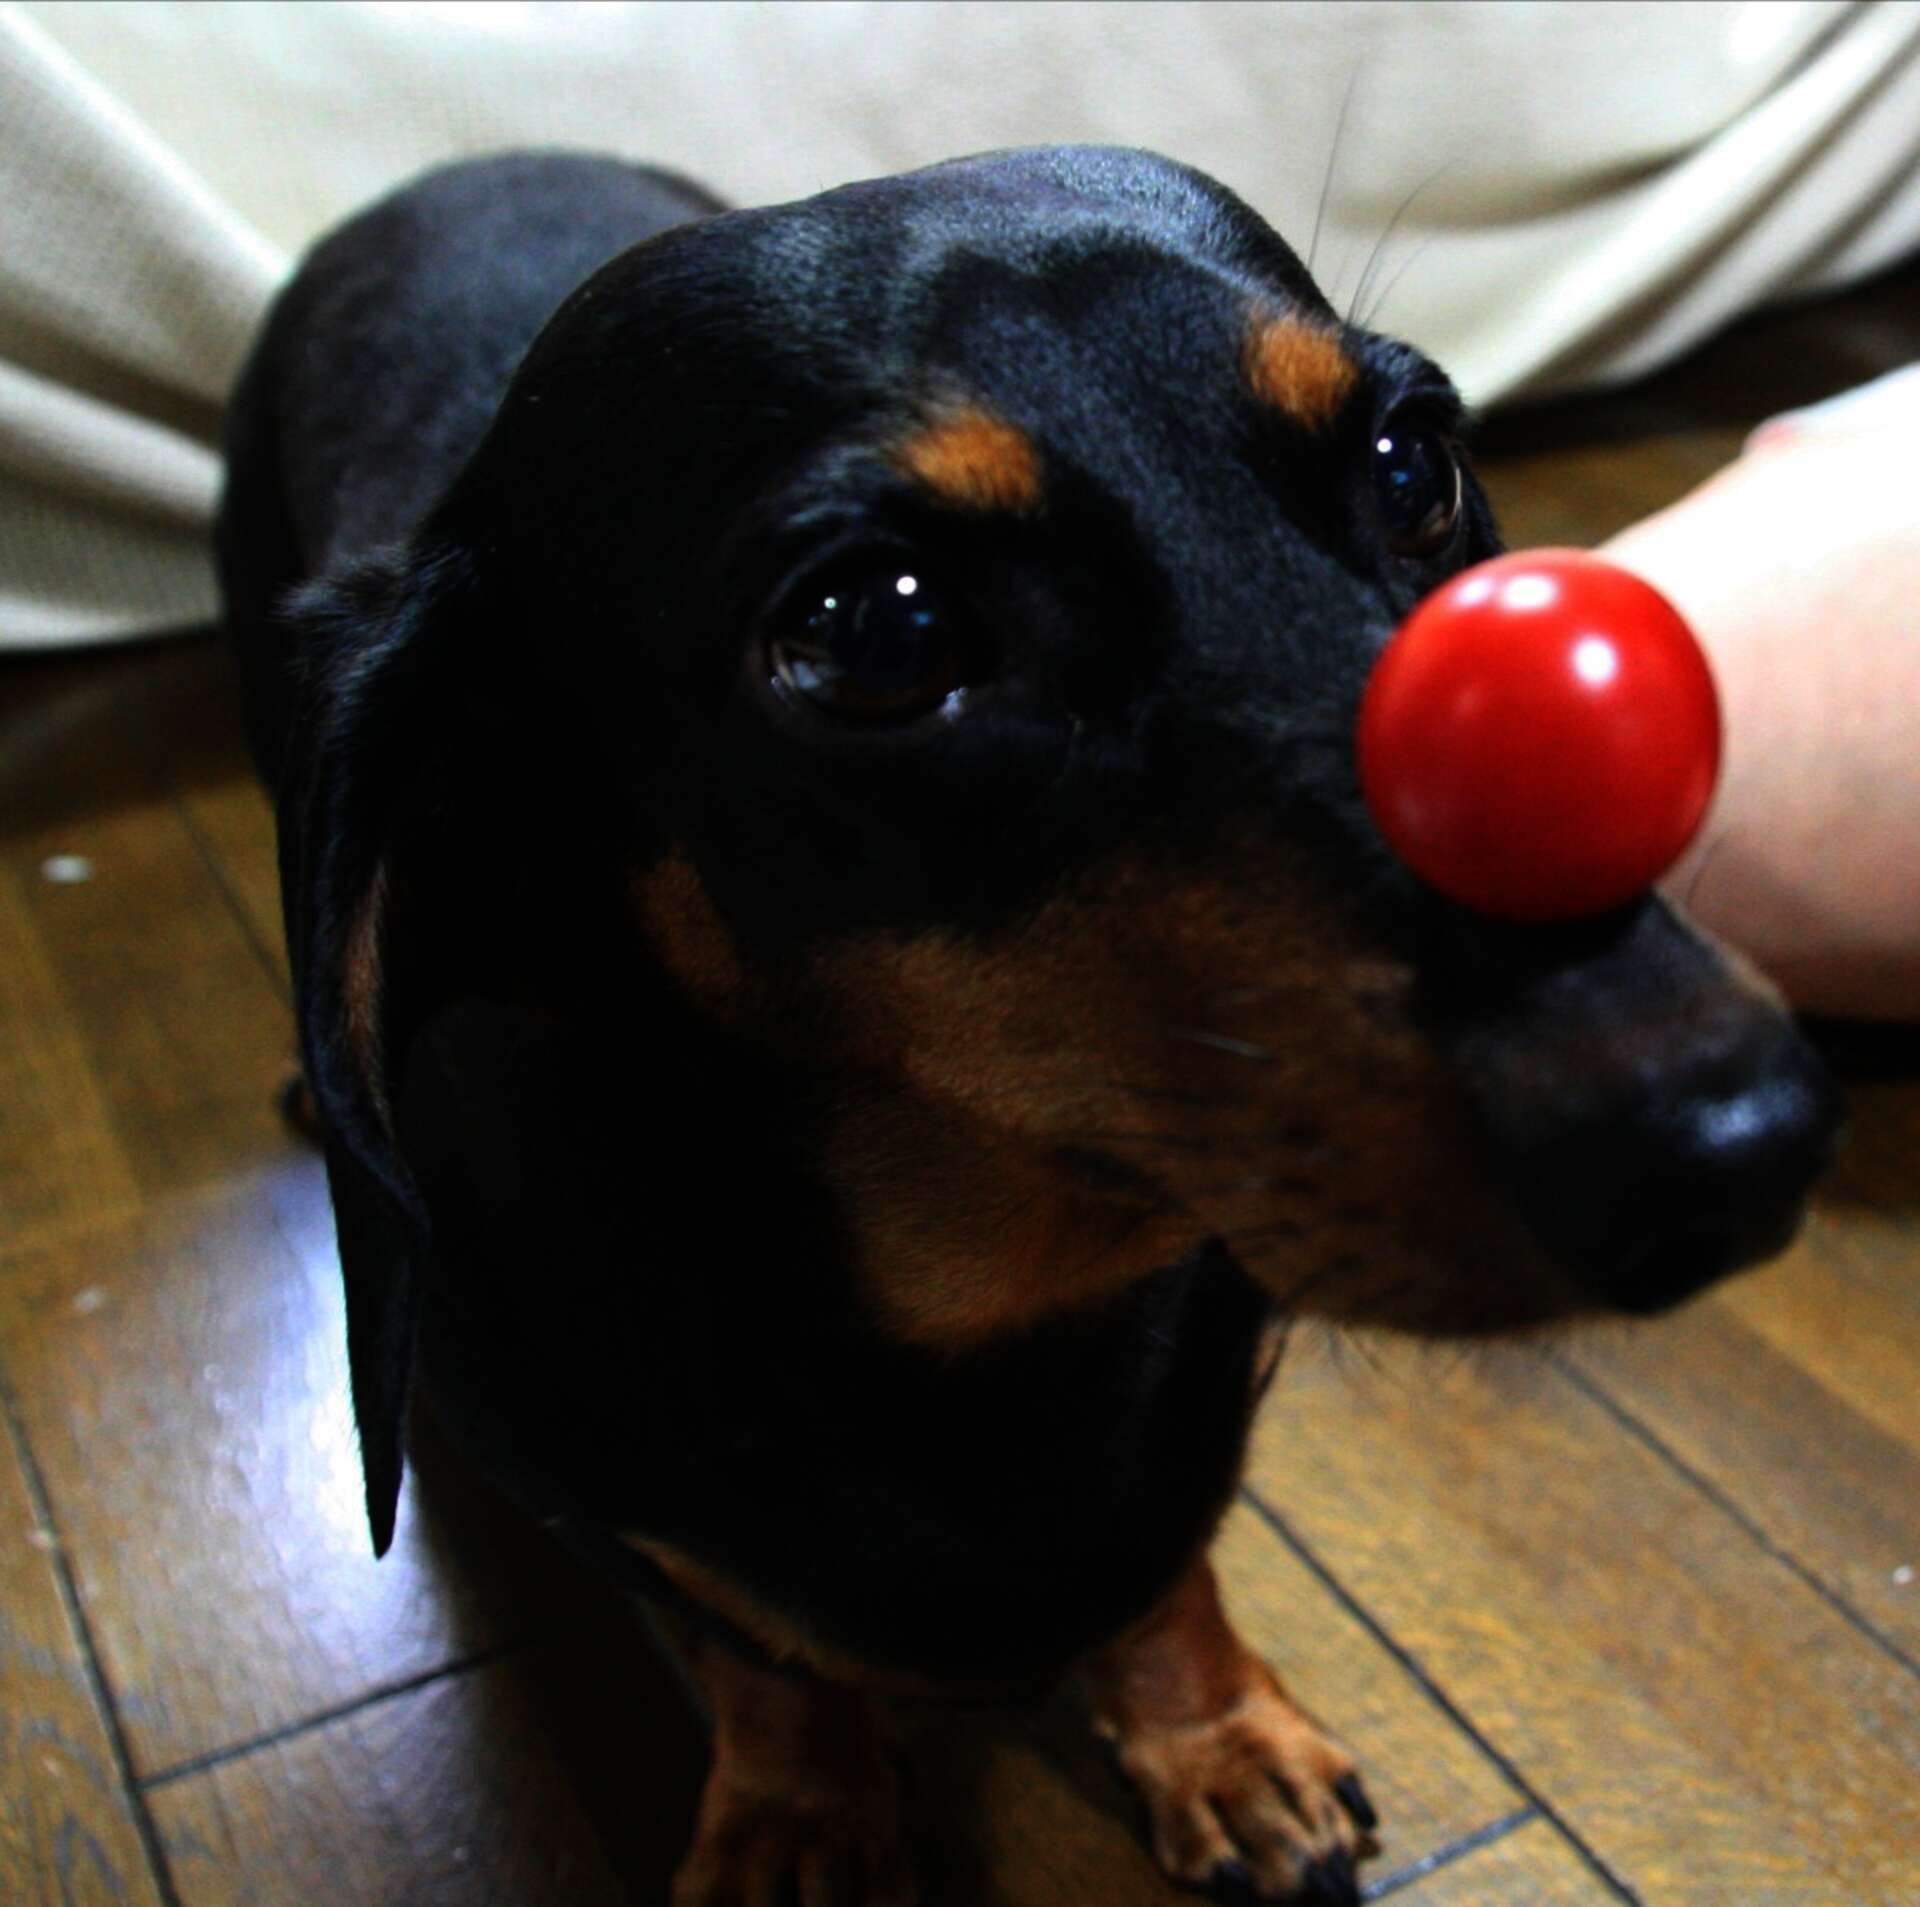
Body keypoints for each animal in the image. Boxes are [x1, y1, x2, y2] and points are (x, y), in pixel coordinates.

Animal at [217, 147, 1840, 1905]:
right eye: (878, 629)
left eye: (1415, 462)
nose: (1737, 1134)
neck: (987, 1308)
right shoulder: (613, 1505)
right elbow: (757, 1652)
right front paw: (799, 1814)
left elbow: (1167, 1562)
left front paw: (1215, 1736)